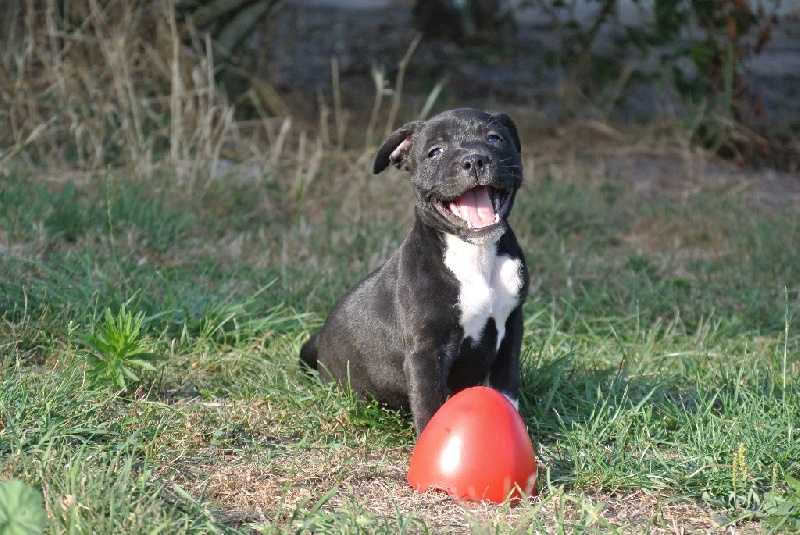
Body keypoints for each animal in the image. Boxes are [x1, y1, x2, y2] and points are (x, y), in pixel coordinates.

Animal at [304, 108, 528, 436]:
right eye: (435, 152)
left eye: (494, 138)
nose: (475, 159)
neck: (474, 255)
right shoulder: (426, 353)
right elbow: (429, 405)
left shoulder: (510, 330)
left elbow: (506, 391)